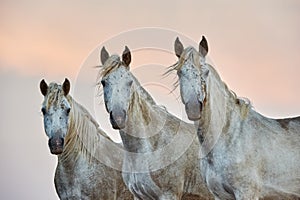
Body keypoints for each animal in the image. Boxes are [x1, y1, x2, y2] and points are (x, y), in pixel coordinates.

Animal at [170, 36, 300, 199]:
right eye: (179, 72)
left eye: (205, 72)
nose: (194, 108)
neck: (229, 136)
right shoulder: (219, 195)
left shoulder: (246, 192)